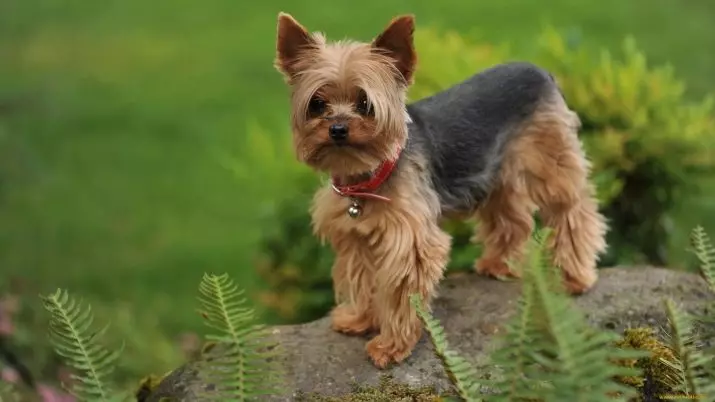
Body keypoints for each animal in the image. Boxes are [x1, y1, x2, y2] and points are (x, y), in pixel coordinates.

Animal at [272, 12, 608, 370]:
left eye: (365, 104)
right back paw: (499, 265)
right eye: (317, 104)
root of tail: (542, 71)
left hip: (549, 160)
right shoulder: (354, 237)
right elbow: (361, 278)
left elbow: (401, 293)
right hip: (495, 170)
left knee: (572, 210)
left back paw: (574, 277)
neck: (367, 174)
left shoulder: (410, 241)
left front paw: (391, 346)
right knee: (511, 215)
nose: (337, 128)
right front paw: (360, 318)